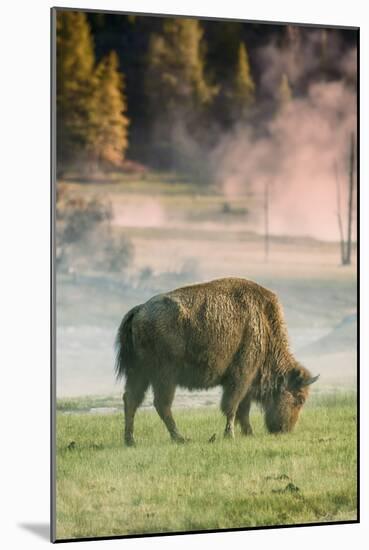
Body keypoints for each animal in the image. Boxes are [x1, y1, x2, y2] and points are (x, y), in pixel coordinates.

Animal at [115, 278, 316, 446]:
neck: (263, 326)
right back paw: (180, 438)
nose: (285, 430)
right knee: (161, 404)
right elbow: (232, 406)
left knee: (131, 399)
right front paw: (230, 435)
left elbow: (243, 408)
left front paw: (248, 433)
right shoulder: (241, 376)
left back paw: (130, 440)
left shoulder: (247, 383)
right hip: (164, 375)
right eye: (299, 399)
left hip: (139, 373)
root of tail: (139, 310)